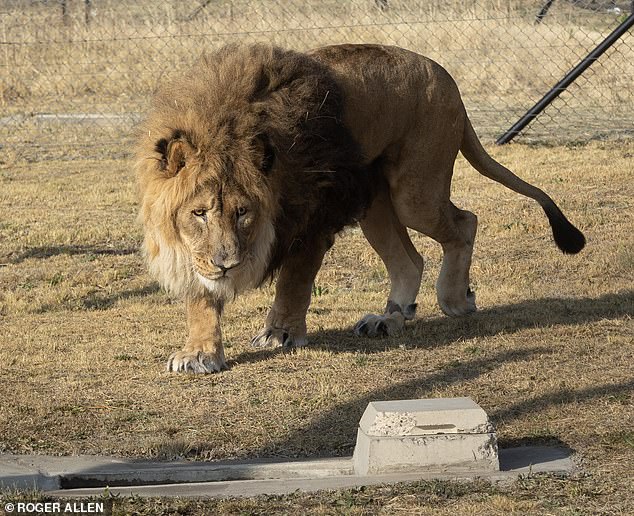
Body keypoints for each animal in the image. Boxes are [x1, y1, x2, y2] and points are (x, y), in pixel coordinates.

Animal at [135, 43, 584, 370]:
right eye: (199, 213)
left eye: (243, 212)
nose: (227, 265)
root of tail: (447, 76)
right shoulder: (194, 252)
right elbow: (201, 298)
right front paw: (199, 353)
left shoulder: (313, 219)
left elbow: (294, 282)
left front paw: (281, 333)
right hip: (376, 205)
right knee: (410, 260)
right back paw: (390, 318)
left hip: (414, 193)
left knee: (465, 222)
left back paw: (455, 298)